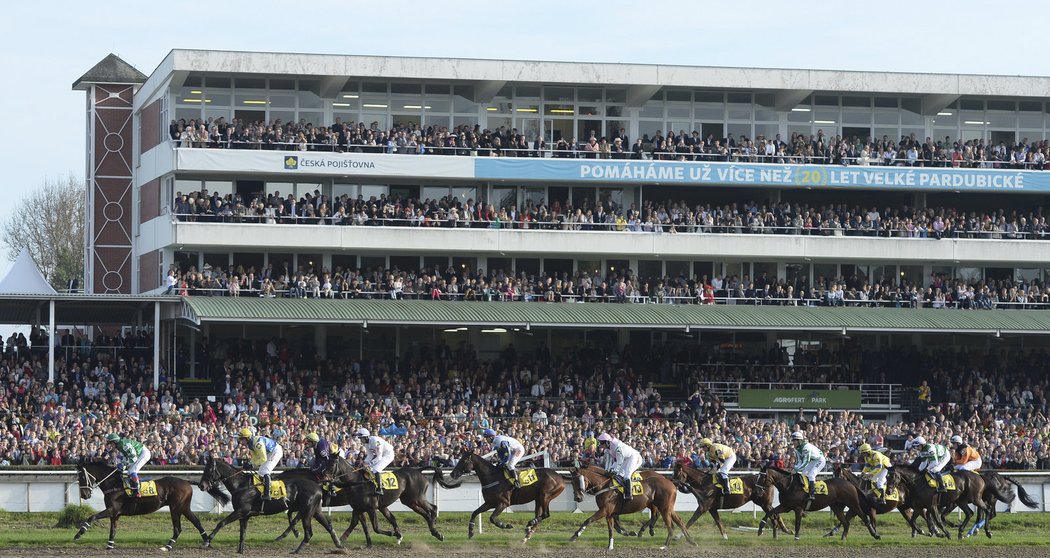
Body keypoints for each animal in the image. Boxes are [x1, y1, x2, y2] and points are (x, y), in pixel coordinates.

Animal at [72, 460, 208, 550]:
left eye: (82, 476)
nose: (84, 495)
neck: (114, 485)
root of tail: (186, 481)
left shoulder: (113, 509)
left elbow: (92, 517)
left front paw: (79, 534)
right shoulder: (115, 514)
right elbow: (113, 529)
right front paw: (110, 545)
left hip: (175, 508)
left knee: (178, 528)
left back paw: (168, 546)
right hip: (184, 507)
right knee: (196, 521)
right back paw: (206, 541)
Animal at [197, 456, 344, 550]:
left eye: (208, 470)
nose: (201, 485)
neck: (241, 485)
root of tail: (317, 484)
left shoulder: (240, 511)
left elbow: (221, 523)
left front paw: (207, 541)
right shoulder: (245, 515)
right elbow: (242, 534)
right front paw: (240, 550)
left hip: (307, 511)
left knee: (308, 529)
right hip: (315, 510)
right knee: (328, 526)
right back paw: (339, 544)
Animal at [567, 462, 697, 550]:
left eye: (578, 481)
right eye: (571, 482)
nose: (577, 498)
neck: (605, 486)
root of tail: (669, 481)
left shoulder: (604, 510)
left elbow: (588, 520)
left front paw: (575, 536)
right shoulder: (610, 513)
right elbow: (612, 529)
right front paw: (611, 545)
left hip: (664, 508)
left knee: (669, 525)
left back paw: (664, 545)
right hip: (667, 507)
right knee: (679, 521)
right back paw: (691, 541)